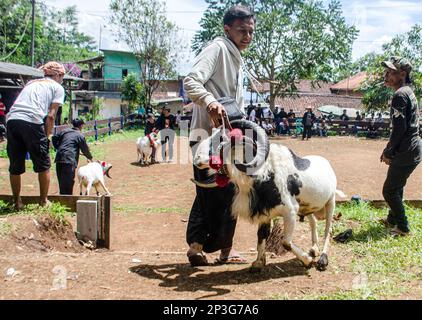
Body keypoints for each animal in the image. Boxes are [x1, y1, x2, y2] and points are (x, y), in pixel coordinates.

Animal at [193, 120, 342, 272]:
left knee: (328, 229)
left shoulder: (291, 211)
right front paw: (258, 263)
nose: (197, 157)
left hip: (330, 202)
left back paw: (322, 260)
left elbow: (286, 242)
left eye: (221, 138)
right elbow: (261, 237)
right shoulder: (265, 213)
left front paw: (307, 261)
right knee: (313, 222)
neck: (264, 173)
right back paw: (314, 249)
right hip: (308, 207)